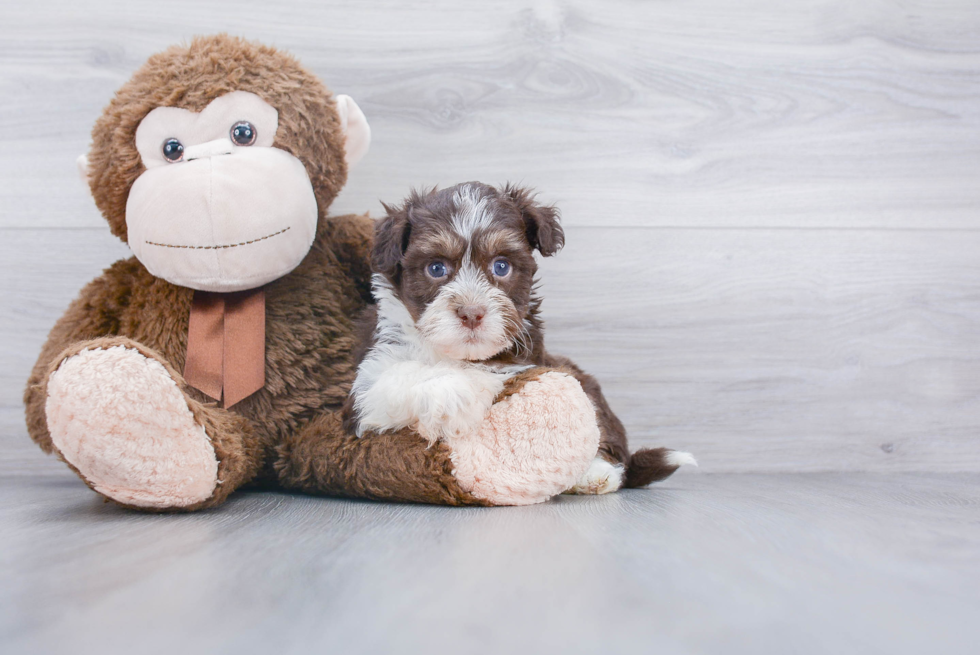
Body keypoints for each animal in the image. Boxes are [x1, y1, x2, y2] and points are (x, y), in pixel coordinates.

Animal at [344, 182, 696, 494]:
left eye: (501, 266)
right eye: (436, 268)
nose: (471, 313)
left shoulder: (526, 357)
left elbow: (499, 372)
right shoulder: (365, 386)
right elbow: (394, 379)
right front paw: (452, 393)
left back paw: (595, 474)